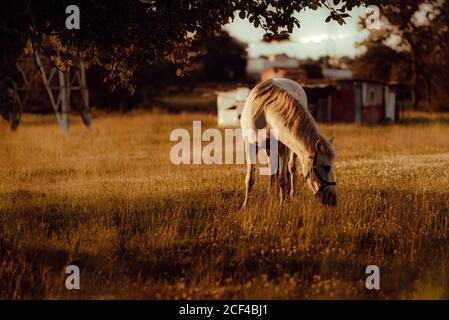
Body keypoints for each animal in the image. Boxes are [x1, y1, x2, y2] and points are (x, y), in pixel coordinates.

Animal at [240, 78, 334, 208]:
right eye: (327, 167)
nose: (332, 199)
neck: (266, 114)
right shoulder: (250, 146)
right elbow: (250, 178)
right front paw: (245, 205)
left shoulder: (282, 148)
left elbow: (282, 178)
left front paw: (282, 204)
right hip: (270, 150)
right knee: (273, 169)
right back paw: (271, 194)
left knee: (290, 168)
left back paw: (291, 195)